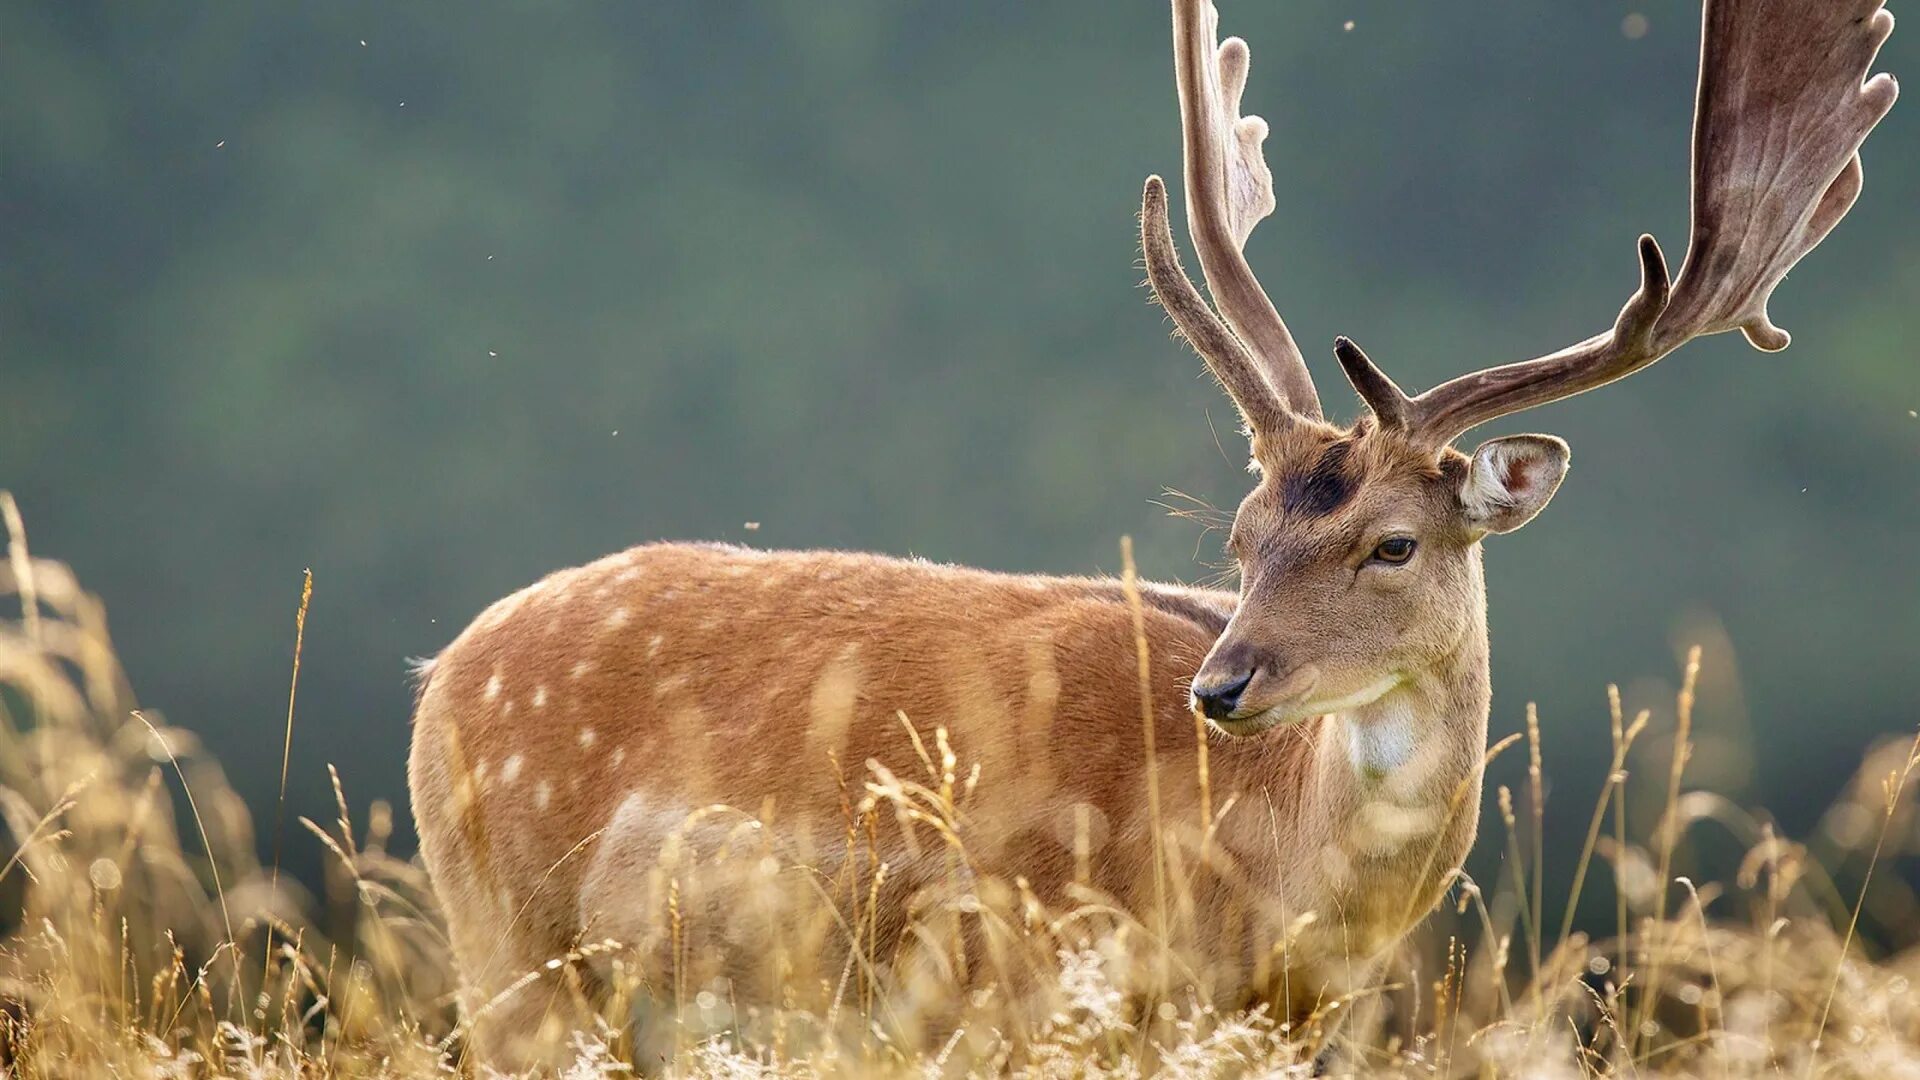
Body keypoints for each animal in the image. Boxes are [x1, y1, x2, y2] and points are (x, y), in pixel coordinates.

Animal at [412, 0, 1896, 1060]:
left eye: (1392, 544)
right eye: (1239, 538)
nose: (1222, 685)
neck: (1272, 904)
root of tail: (442, 672)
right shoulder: (1021, 984)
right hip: (508, 946)